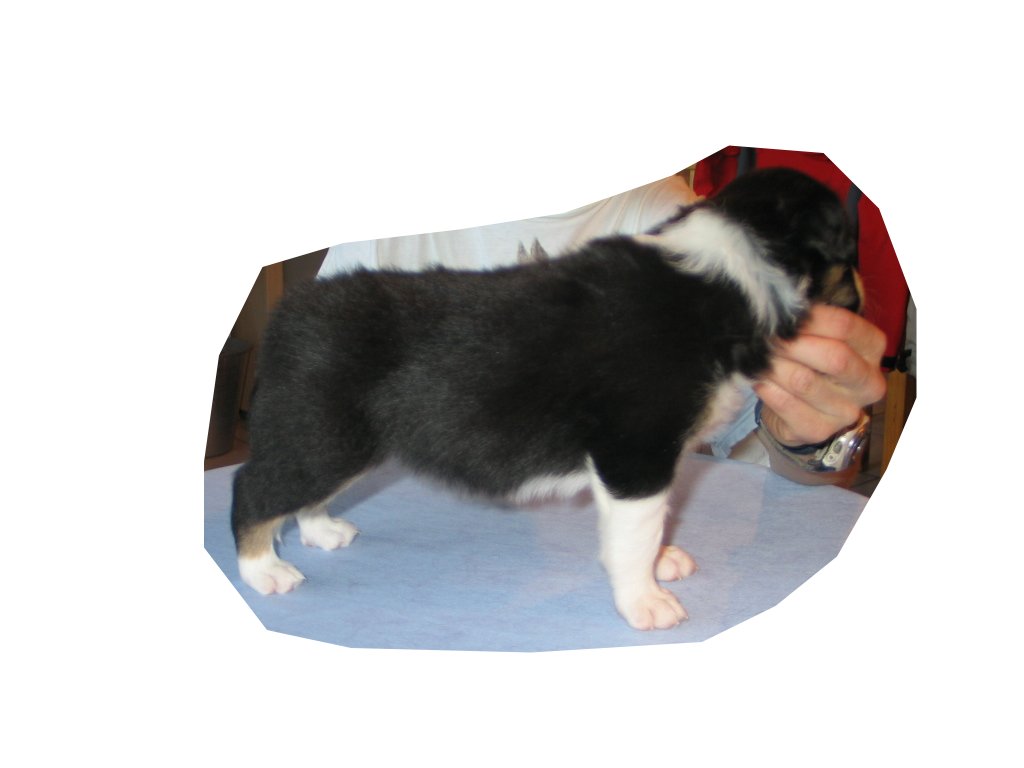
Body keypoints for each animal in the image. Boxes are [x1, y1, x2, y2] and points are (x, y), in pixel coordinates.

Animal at [230, 167, 863, 630]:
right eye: (850, 248)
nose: (861, 301)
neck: (732, 274)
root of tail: (291, 311)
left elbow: (655, 522)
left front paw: (662, 562)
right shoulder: (636, 454)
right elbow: (636, 532)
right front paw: (647, 602)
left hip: (334, 438)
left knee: (301, 493)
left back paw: (321, 531)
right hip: (322, 431)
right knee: (253, 488)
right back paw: (264, 570)